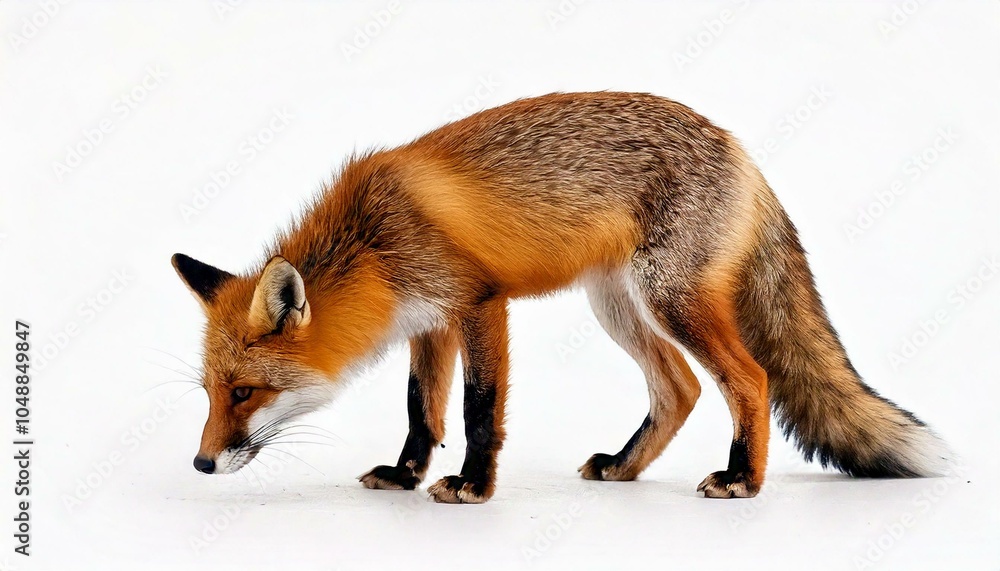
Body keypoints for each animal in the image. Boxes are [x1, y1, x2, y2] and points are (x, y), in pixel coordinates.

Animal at [172, 91, 950, 503]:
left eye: (243, 393)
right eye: (209, 394)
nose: (201, 465)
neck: (372, 241)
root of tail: (737, 147)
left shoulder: (479, 303)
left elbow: (476, 410)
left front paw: (472, 486)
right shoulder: (428, 321)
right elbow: (422, 409)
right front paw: (405, 473)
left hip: (669, 299)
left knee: (749, 380)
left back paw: (742, 479)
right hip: (619, 306)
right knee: (680, 389)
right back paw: (624, 467)